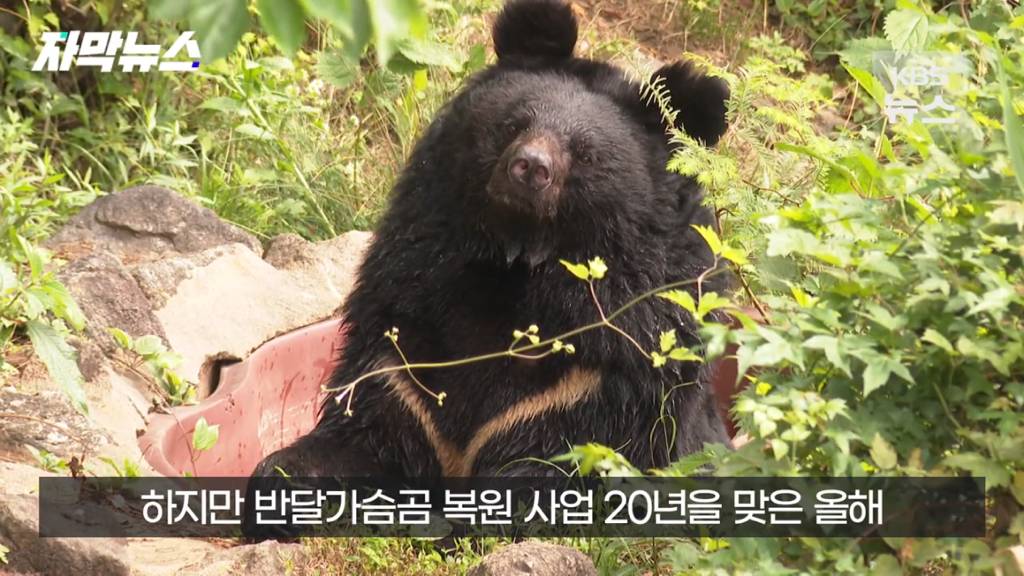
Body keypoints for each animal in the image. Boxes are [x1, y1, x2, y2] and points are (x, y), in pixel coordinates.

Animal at [253, 0, 737, 477]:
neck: (513, 268)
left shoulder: (602, 387)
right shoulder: (401, 357)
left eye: (585, 153)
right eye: (514, 124)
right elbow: (363, 432)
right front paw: (283, 471)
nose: (530, 167)